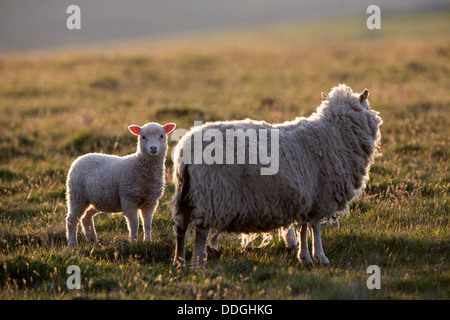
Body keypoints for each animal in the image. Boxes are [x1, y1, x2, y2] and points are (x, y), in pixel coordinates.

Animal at [67, 121, 176, 249]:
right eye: (143, 137)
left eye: (162, 136)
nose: (153, 148)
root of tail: (79, 158)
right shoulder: (129, 199)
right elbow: (134, 224)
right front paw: (133, 243)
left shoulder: (151, 201)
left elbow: (147, 223)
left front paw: (148, 241)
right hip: (77, 196)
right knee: (71, 219)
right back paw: (72, 245)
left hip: (95, 200)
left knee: (86, 217)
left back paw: (92, 240)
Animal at [171, 84, 382, 268]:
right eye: (368, 106)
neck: (335, 134)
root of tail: (185, 151)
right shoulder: (320, 197)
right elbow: (315, 228)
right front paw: (320, 257)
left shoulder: (307, 198)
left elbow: (303, 229)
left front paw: (305, 257)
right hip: (212, 195)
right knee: (200, 232)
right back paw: (198, 263)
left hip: (188, 195)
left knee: (180, 228)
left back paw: (179, 261)